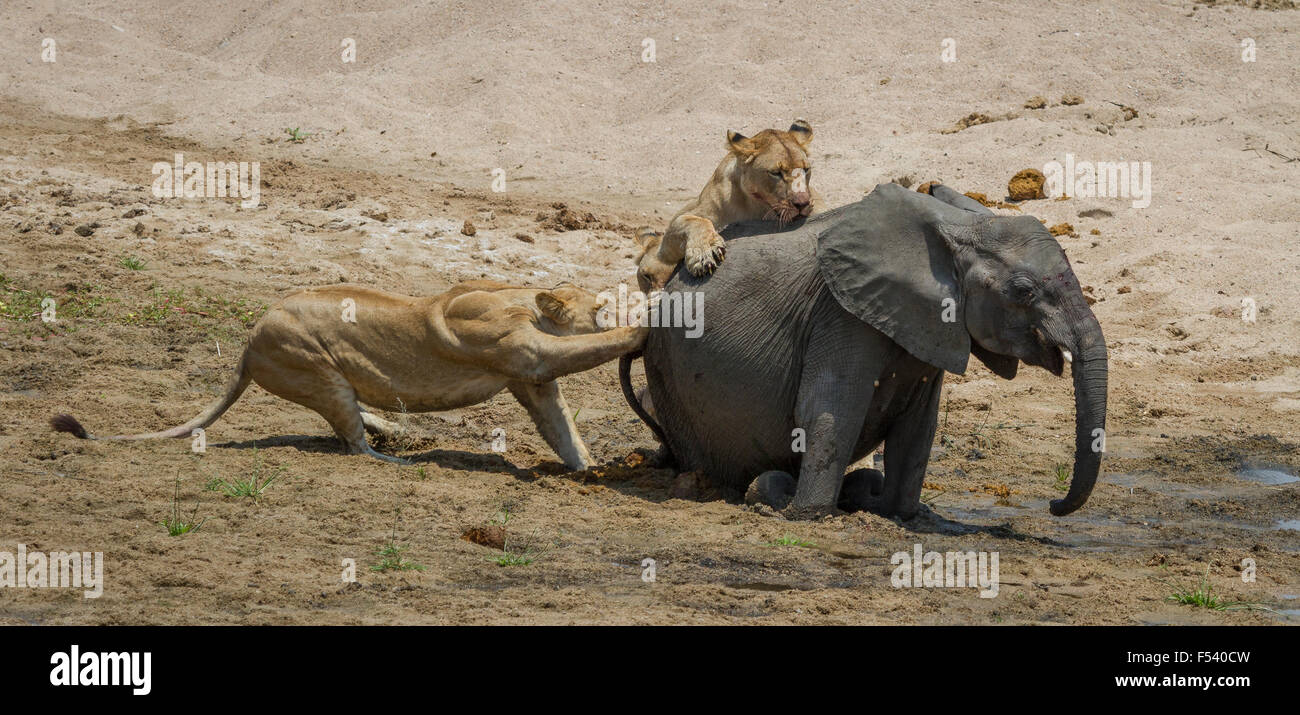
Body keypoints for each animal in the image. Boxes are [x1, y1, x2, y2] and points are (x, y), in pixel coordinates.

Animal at [624, 182, 1112, 522]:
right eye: (1023, 291)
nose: (1053, 505)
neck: (957, 227)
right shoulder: (840, 314)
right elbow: (830, 411)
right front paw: (804, 515)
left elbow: (917, 429)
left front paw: (894, 510)